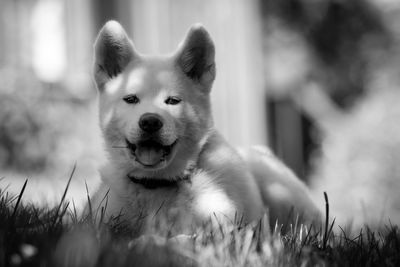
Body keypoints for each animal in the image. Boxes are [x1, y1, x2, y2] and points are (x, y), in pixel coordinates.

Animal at [89, 19, 320, 236]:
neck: (157, 184)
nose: (150, 122)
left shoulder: (224, 229)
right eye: (130, 99)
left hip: (281, 192)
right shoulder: (101, 220)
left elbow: (179, 240)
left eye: (173, 101)